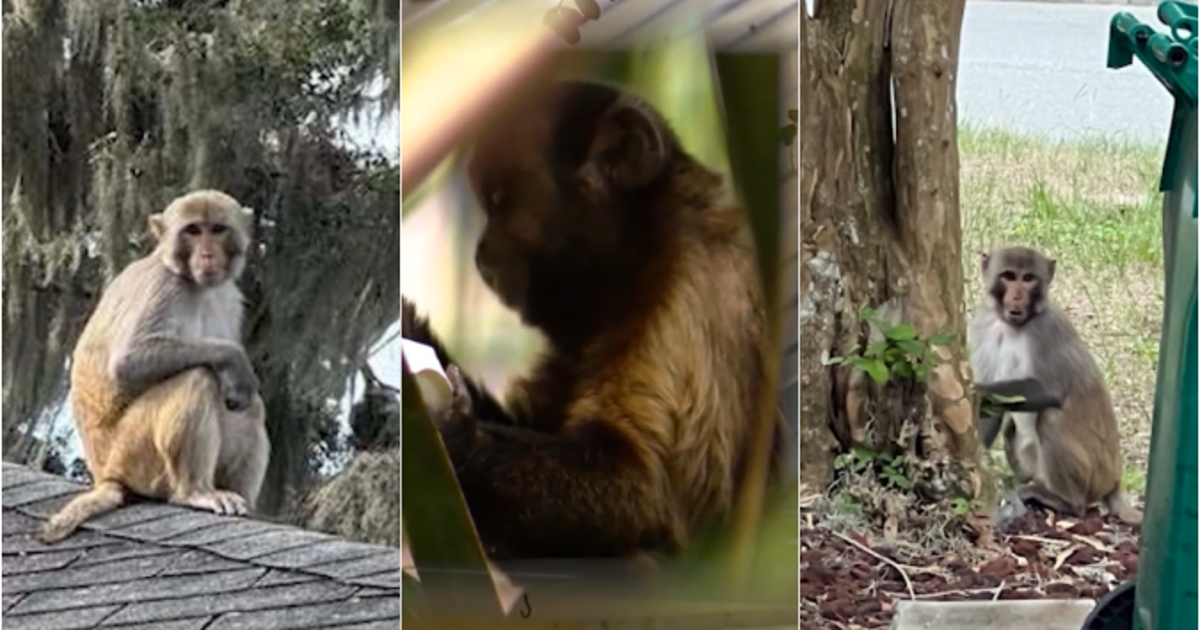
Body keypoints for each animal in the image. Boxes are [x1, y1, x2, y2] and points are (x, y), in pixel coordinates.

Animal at [38, 190, 270, 543]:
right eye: (193, 230)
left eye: (217, 229)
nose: (206, 255)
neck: (193, 283)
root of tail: (106, 476)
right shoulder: (163, 286)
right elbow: (129, 361)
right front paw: (234, 360)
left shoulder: (230, 299)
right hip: (133, 456)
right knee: (197, 377)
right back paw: (196, 491)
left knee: (250, 407)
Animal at [967, 246, 1142, 524]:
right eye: (1008, 276)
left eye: (1028, 279)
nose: (1017, 296)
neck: (1011, 325)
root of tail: (1115, 481)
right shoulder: (983, 324)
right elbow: (990, 412)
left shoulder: (1047, 329)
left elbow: (1050, 390)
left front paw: (974, 389)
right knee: (1012, 428)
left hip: (1095, 475)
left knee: (1050, 418)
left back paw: (1068, 503)